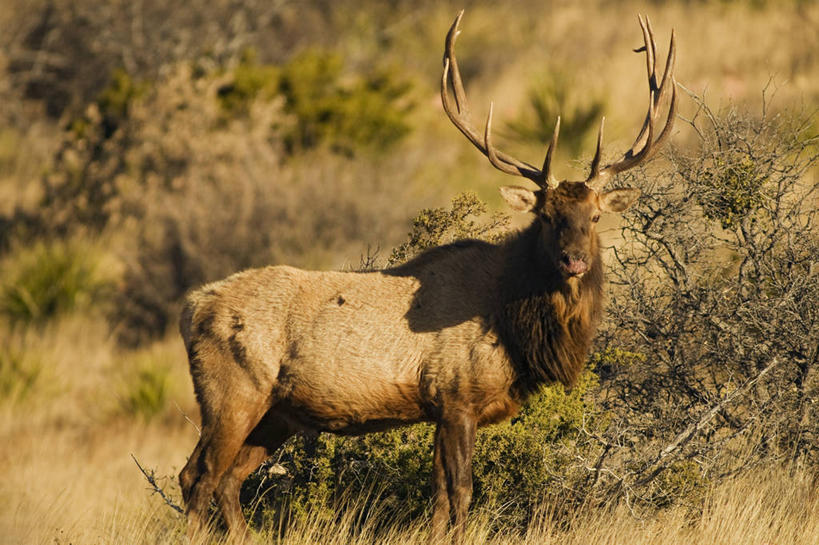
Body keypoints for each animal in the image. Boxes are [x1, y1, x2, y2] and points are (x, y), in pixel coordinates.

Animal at [179, 10, 680, 540]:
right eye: (546, 216)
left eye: (596, 216)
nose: (574, 260)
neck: (514, 326)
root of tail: (191, 307)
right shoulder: (456, 394)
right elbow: (460, 492)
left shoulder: (443, 408)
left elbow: (439, 495)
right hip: (232, 391)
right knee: (197, 476)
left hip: (277, 412)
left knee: (229, 480)